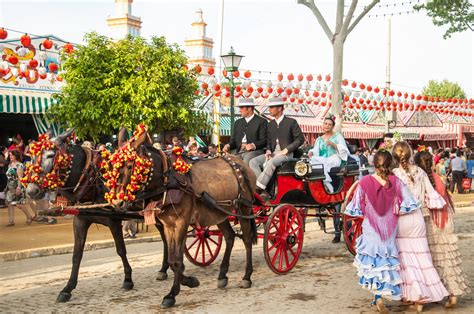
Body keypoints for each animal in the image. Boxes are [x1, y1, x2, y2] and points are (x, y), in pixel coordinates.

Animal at [110, 130, 260, 310]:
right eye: (112, 166)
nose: (117, 202)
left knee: (247, 239)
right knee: (230, 237)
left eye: (130, 166)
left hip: (244, 208)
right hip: (219, 212)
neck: (168, 181)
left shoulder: (181, 222)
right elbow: (172, 259)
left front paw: (172, 293)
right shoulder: (168, 226)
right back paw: (223, 275)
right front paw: (188, 281)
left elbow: (176, 260)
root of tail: (240, 163)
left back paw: (246, 277)